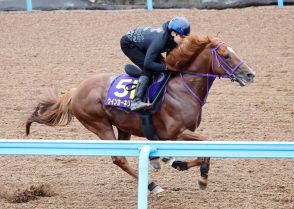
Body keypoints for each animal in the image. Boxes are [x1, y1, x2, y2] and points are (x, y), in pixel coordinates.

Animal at [25, 33, 255, 195]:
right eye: (226, 55)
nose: (250, 74)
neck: (183, 88)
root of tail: (75, 91)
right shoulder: (176, 133)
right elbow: (207, 143)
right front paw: (201, 175)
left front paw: (178, 163)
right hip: (100, 125)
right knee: (119, 159)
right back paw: (153, 186)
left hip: (123, 126)